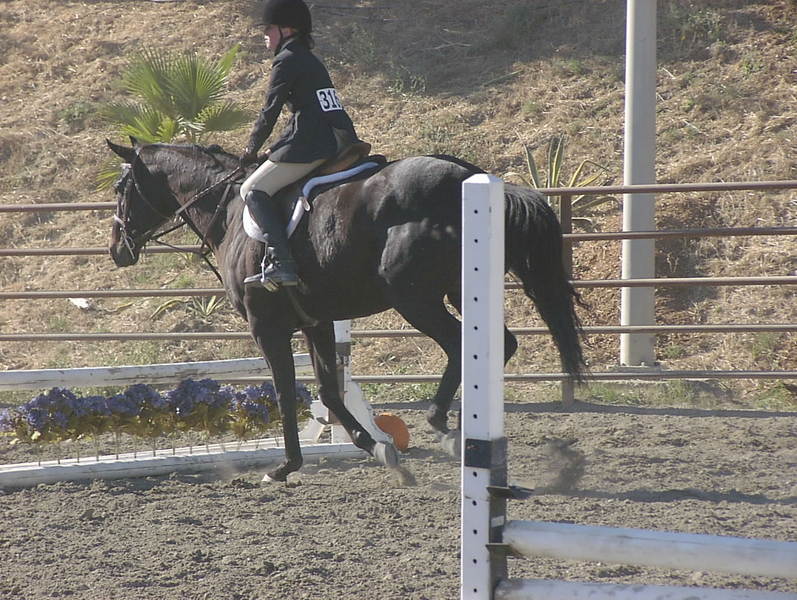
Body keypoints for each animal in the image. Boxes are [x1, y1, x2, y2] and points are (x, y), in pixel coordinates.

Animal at [107, 138, 586, 484]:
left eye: (120, 188)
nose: (116, 250)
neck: (228, 210)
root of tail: (473, 176)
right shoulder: (314, 322)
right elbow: (328, 391)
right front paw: (378, 450)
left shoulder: (267, 328)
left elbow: (286, 393)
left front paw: (284, 467)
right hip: (455, 292)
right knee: (499, 345)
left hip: (416, 300)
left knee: (458, 347)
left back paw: (444, 426)